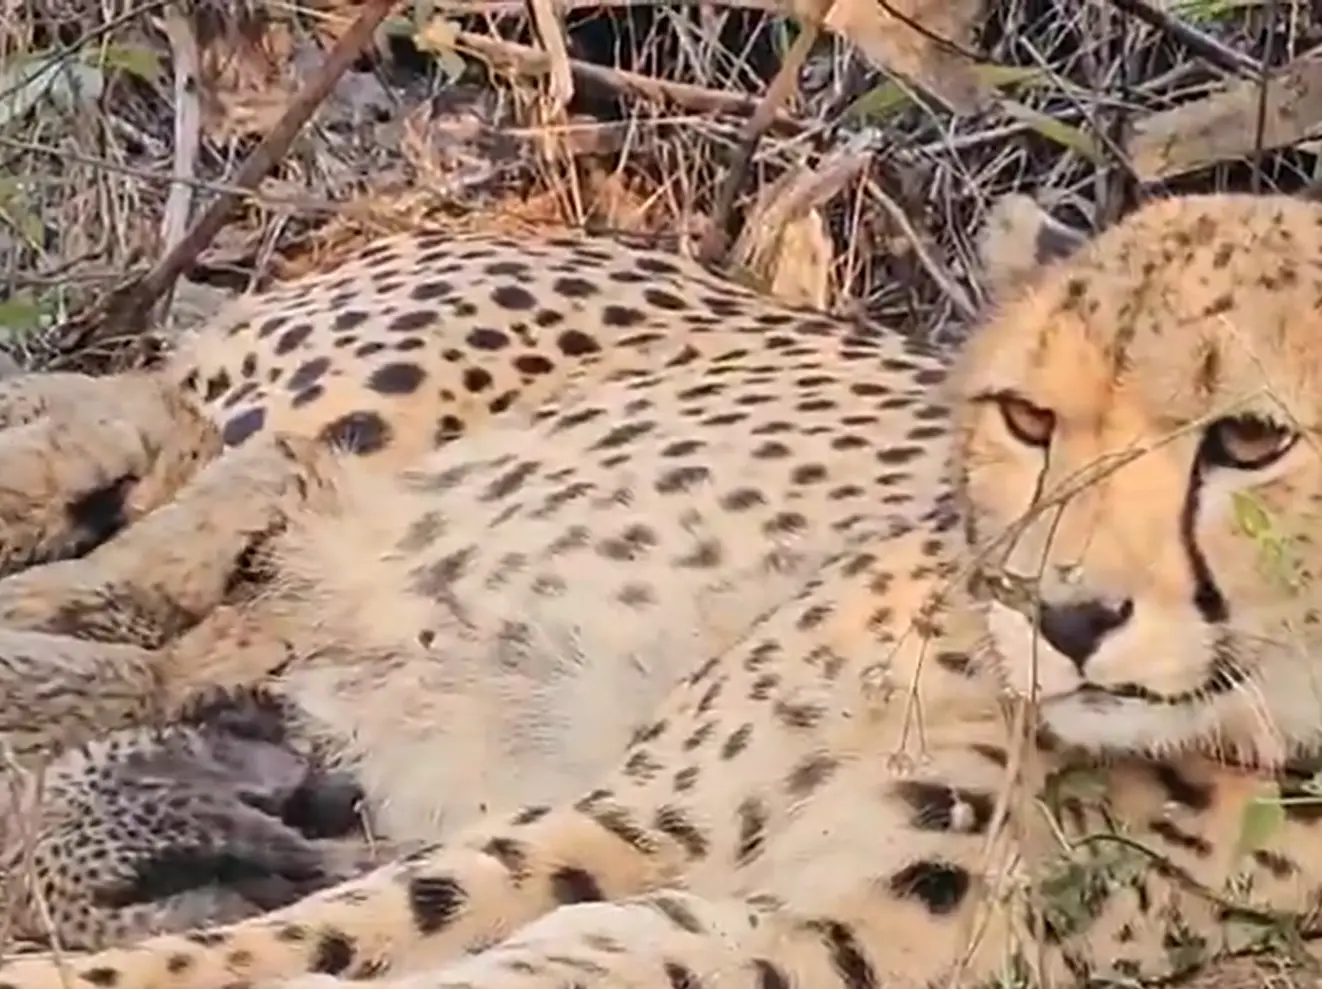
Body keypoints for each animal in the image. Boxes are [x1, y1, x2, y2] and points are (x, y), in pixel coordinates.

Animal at [9, 191, 1322, 989]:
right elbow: (325, 931)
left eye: (1252, 441)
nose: (1061, 613)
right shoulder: (638, 817)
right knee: (147, 445)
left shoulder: (783, 938)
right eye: (1028, 417)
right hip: (332, 409)